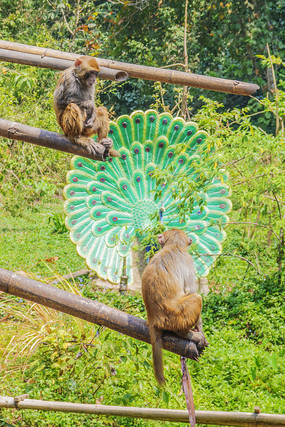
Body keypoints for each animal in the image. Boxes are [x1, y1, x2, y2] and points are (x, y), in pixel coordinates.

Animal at [141, 229, 207, 386]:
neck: (174, 246)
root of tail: (155, 320)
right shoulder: (189, 261)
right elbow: (191, 290)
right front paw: (199, 327)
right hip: (176, 317)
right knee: (197, 298)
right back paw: (186, 333)